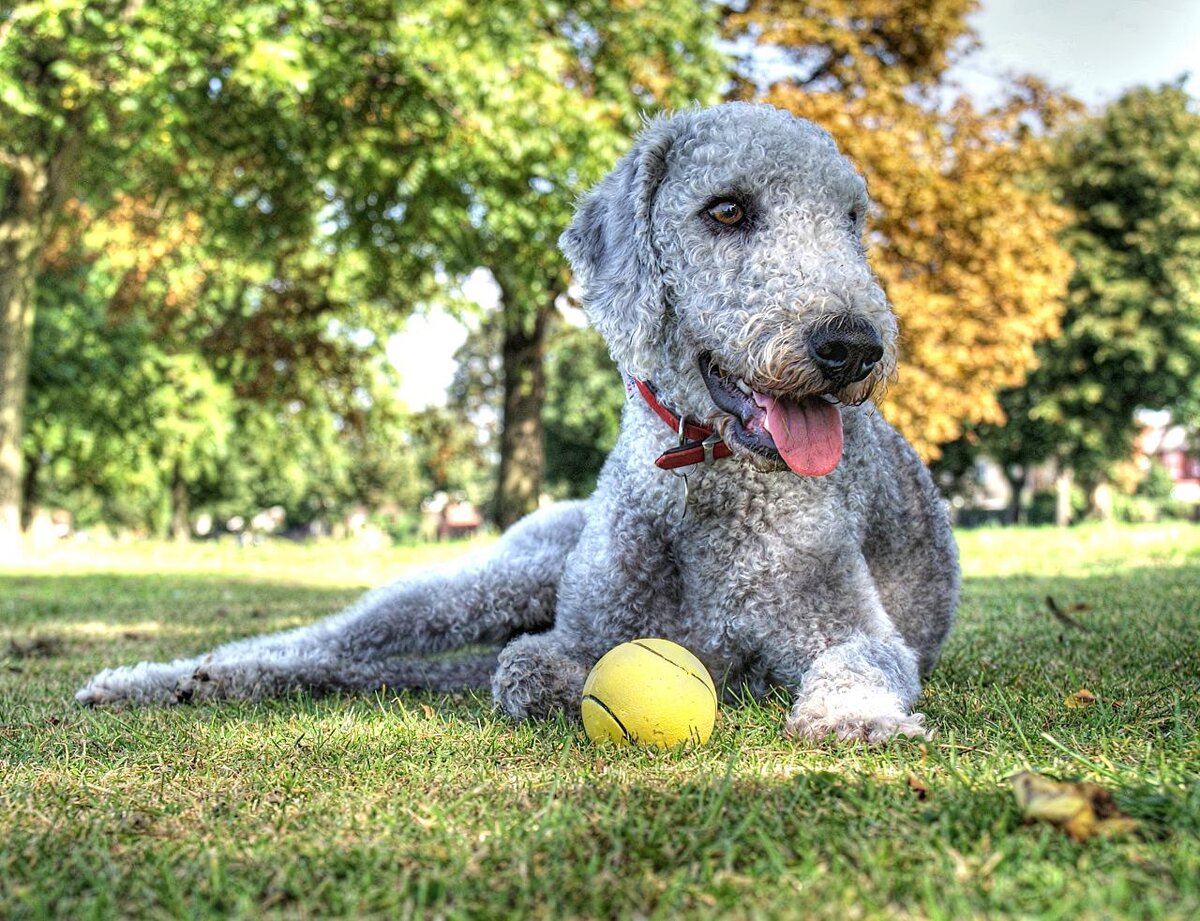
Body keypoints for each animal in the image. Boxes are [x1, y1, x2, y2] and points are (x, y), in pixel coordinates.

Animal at [77, 104, 955, 743]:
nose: (852, 346)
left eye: (851, 219)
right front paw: (556, 679)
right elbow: (532, 664)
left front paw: (855, 716)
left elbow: (863, 658)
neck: (703, 480)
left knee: (354, 664)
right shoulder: (588, 622)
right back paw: (165, 676)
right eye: (728, 209)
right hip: (491, 581)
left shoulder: (844, 620)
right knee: (330, 636)